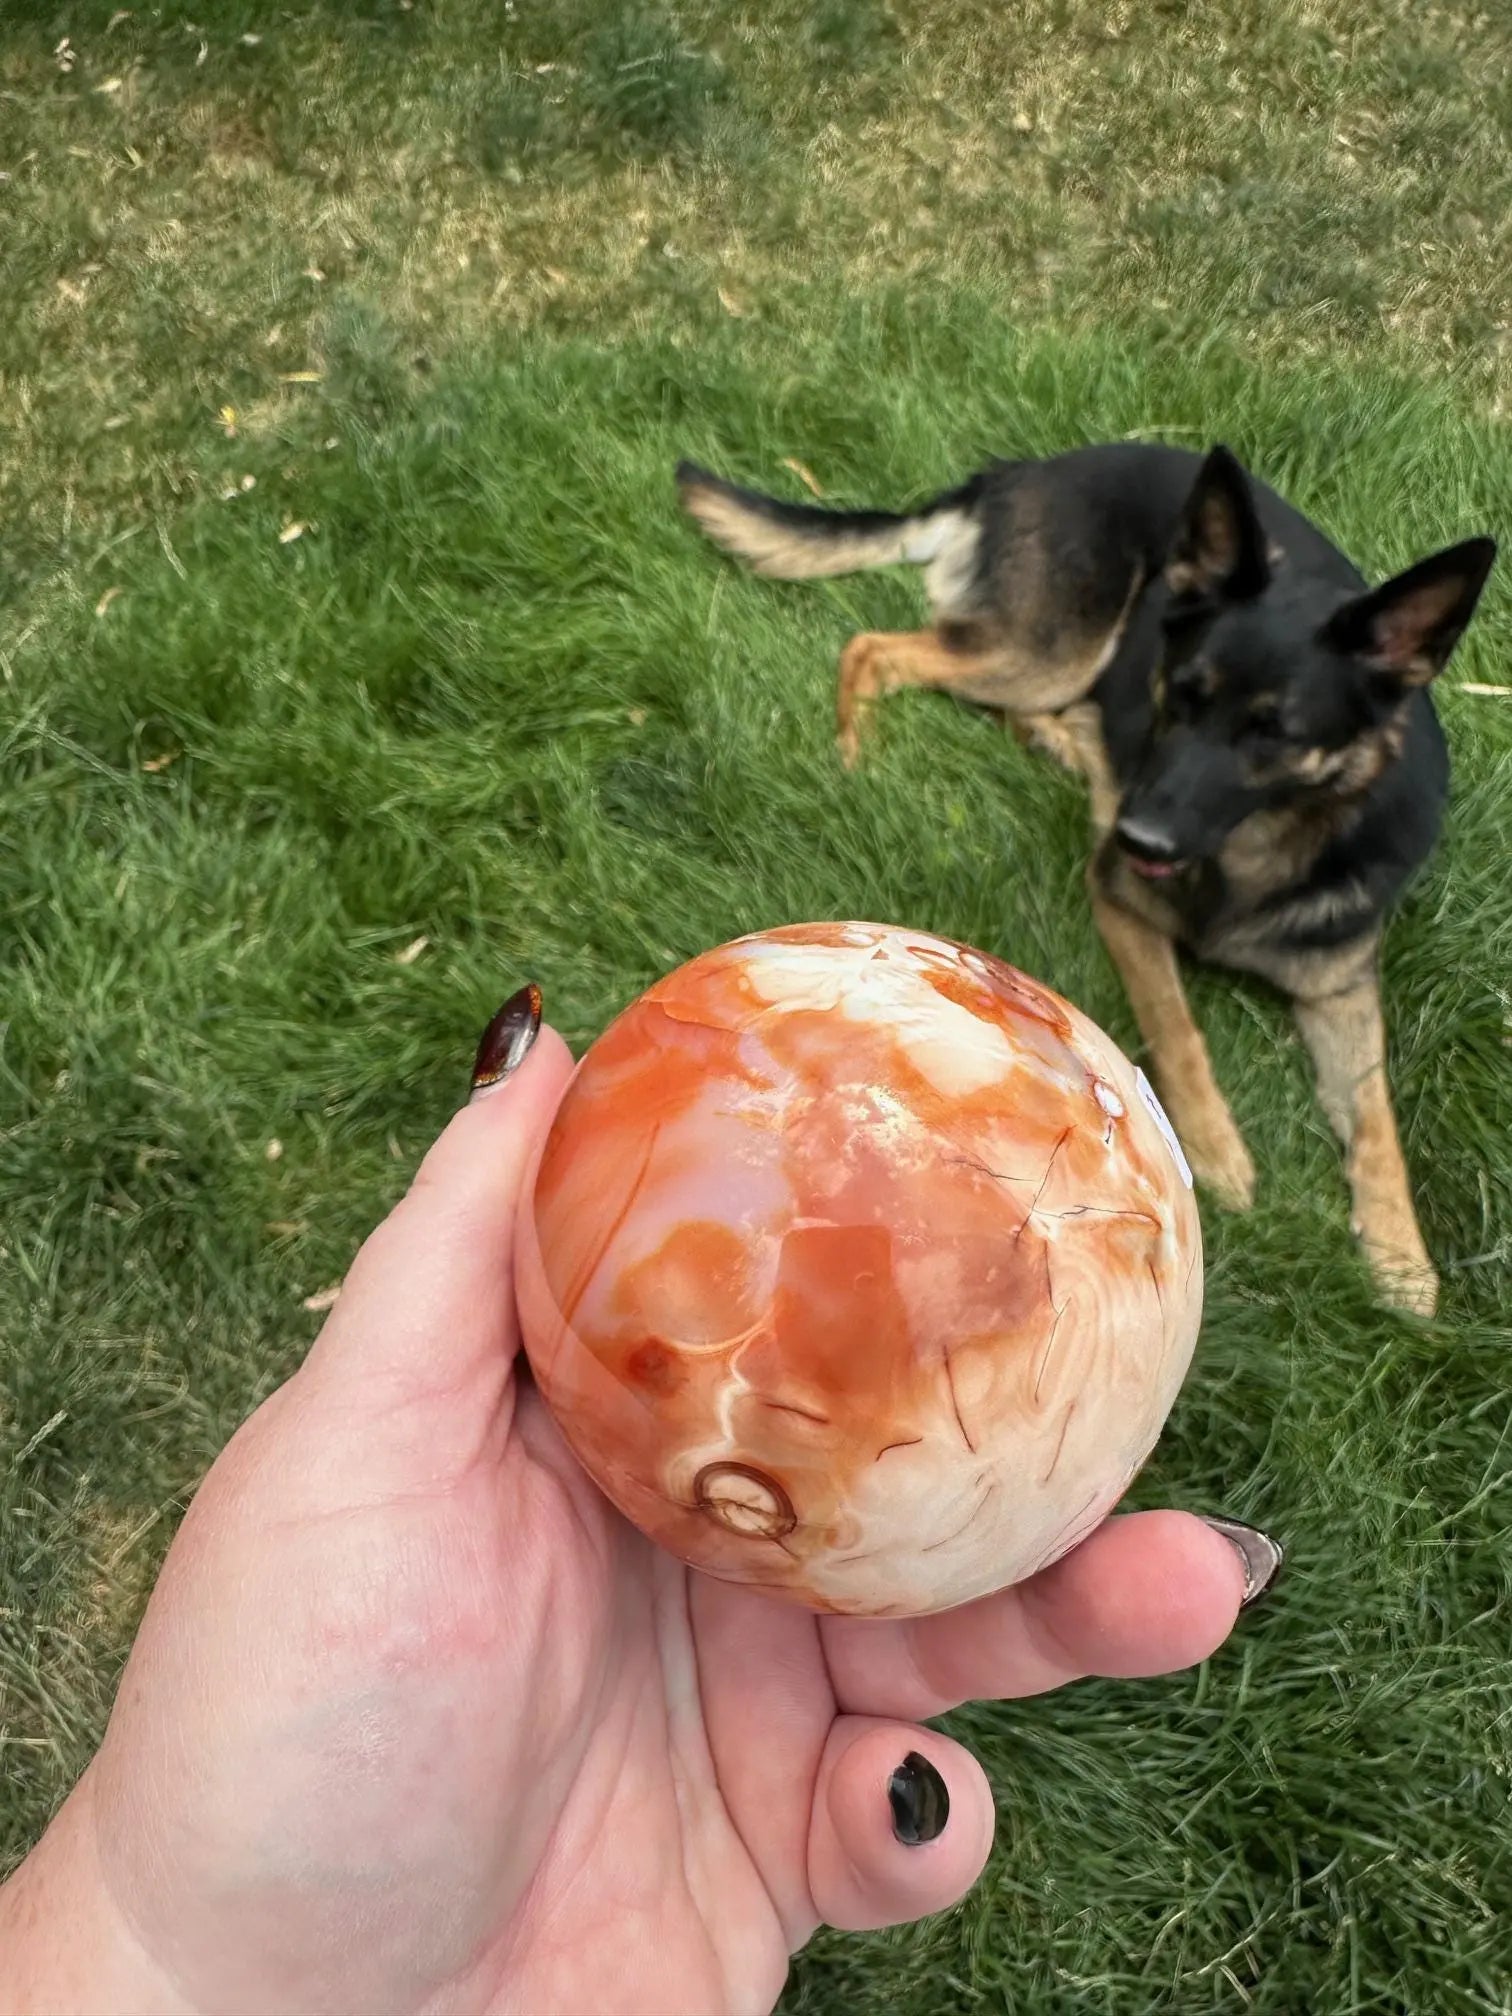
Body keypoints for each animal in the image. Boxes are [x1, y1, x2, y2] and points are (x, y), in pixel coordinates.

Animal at [681, 443, 1499, 1314]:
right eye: (1182, 694)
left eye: (1273, 734)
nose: (1135, 836)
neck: (1255, 853)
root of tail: (1024, 468)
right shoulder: (1122, 903)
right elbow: (1177, 1029)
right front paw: (1217, 1151)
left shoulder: (1340, 989)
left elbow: (1377, 1121)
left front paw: (1402, 1257)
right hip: (1051, 653)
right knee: (874, 647)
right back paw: (855, 755)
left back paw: (1067, 747)